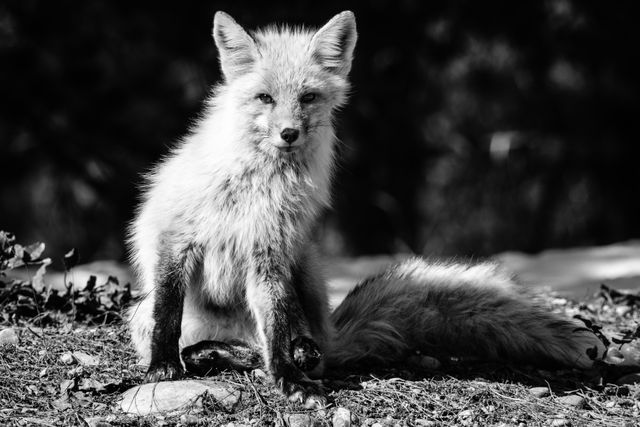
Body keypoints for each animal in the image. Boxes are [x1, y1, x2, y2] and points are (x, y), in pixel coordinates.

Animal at [129, 10, 604, 408]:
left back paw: (287, 354)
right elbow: (168, 315)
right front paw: (162, 368)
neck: (255, 188)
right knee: (225, 342)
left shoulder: (271, 253)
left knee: (295, 346)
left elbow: (277, 327)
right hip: (141, 313)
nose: (288, 134)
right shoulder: (175, 237)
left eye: (307, 97)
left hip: (306, 263)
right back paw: (206, 353)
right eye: (264, 98)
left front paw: (288, 378)